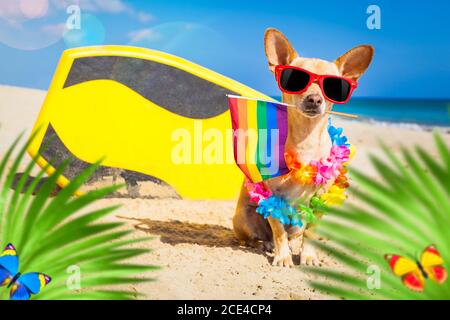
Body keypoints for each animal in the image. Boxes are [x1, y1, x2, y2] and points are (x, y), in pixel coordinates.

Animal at [232, 28, 372, 268]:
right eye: (296, 79)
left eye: (333, 86)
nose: (314, 99)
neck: (306, 139)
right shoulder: (272, 196)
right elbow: (278, 229)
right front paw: (283, 257)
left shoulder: (321, 198)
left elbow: (312, 232)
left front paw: (308, 256)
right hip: (244, 217)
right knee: (258, 237)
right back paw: (265, 244)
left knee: (296, 234)